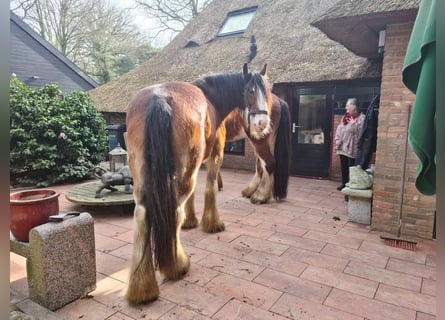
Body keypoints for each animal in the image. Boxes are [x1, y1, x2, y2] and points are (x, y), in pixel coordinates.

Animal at [123, 63, 272, 304]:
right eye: (250, 90)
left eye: (267, 90)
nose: (262, 123)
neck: (212, 98)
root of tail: (159, 98)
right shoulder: (215, 155)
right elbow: (210, 187)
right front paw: (212, 223)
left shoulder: (196, 164)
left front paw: (191, 221)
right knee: (174, 210)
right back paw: (177, 265)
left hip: (143, 171)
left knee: (142, 214)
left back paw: (142, 287)